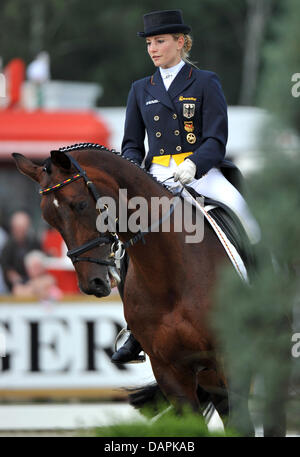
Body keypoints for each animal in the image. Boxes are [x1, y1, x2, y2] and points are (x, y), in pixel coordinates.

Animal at [12, 143, 270, 434]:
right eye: (49, 218)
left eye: (80, 204)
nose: (92, 283)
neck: (170, 274)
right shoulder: (170, 370)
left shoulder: (232, 359)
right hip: (208, 374)